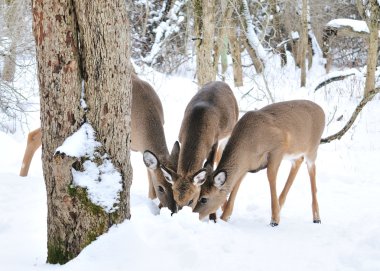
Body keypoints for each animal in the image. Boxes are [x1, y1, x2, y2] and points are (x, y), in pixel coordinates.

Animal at [142, 81, 238, 217]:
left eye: (192, 201)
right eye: (175, 199)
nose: (177, 215)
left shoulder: (214, 142)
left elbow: (209, 166)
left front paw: (213, 216)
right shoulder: (180, 138)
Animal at [193, 99, 326, 226]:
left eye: (204, 199)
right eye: (197, 193)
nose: (193, 214)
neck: (248, 144)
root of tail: (322, 111)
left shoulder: (278, 148)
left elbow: (271, 176)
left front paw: (274, 220)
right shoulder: (246, 166)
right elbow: (235, 185)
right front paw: (225, 217)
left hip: (312, 149)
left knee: (312, 171)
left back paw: (317, 218)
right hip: (294, 153)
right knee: (298, 161)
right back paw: (281, 206)